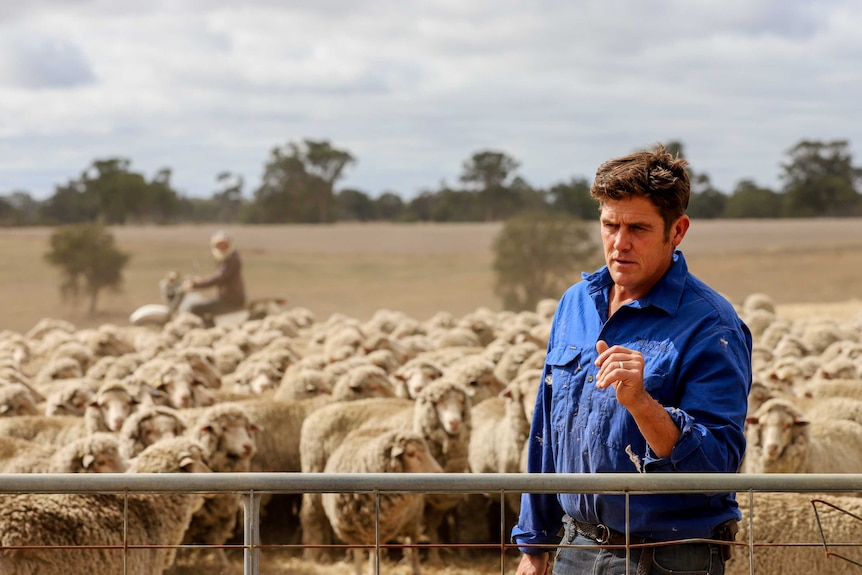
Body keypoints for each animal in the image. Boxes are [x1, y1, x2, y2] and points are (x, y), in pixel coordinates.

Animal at [322, 430, 446, 575]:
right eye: (411, 453)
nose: (440, 473)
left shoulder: (380, 531)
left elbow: (375, 556)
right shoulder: (350, 531)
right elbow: (358, 556)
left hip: (412, 519)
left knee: (412, 544)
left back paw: (415, 568)